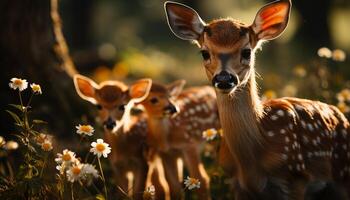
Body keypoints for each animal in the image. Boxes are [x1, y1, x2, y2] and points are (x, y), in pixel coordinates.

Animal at [165, 0, 350, 199]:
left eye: (247, 52)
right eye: (204, 53)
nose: (224, 79)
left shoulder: (297, 177)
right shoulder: (236, 184)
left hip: (342, 174)